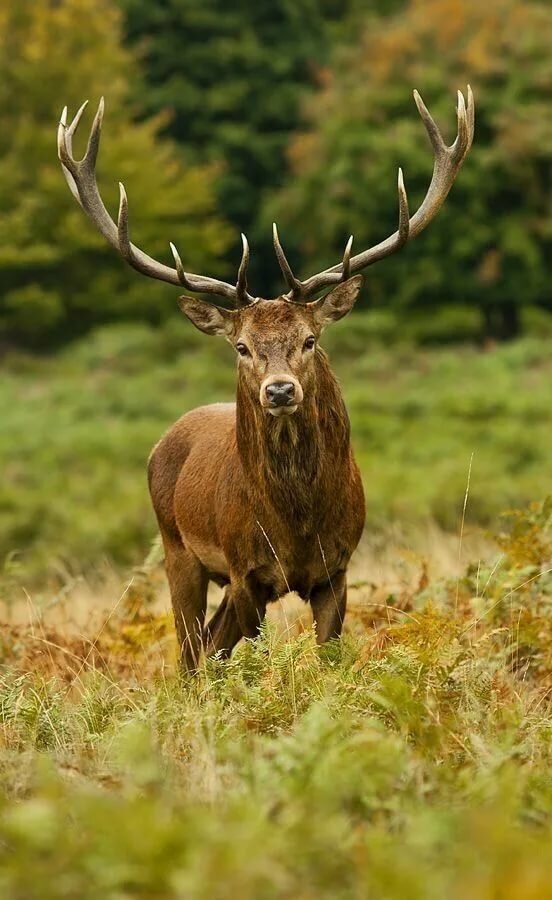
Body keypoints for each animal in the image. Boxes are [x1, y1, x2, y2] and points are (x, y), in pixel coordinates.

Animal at [58, 87, 474, 670]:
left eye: (310, 339)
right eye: (241, 346)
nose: (278, 390)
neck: (296, 525)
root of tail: (164, 441)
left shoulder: (338, 568)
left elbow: (326, 659)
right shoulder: (246, 572)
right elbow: (249, 665)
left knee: (211, 646)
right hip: (177, 549)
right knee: (191, 655)